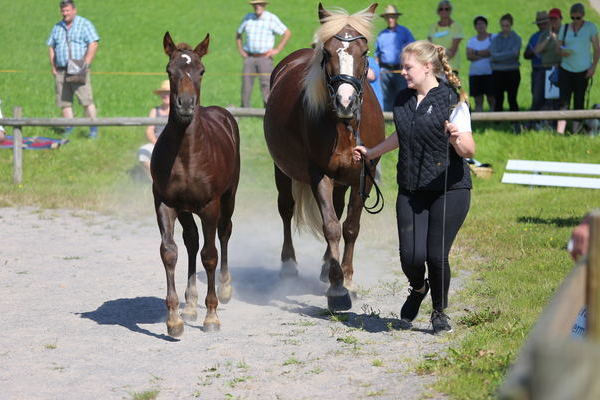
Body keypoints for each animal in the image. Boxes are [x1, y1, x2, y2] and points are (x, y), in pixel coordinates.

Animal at [151, 32, 240, 336]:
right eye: (169, 70)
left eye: (201, 70)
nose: (186, 105)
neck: (187, 155)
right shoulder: (165, 203)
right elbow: (169, 252)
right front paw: (174, 319)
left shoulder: (210, 205)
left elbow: (210, 255)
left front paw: (211, 316)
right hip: (185, 209)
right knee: (191, 241)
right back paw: (189, 304)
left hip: (229, 197)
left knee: (224, 232)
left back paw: (225, 288)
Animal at [262, 3, 384, 310]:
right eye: (327, 52)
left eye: (364, 52)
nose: (345, 102)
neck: (344, 127)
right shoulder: (319, 175)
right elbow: (330, 227)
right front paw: (337, 289)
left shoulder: (363, 175)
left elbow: (350, 226)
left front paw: (347, 278)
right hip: (282, 170)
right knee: (286, 209)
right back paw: (289, 266)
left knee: (338, 212)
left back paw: (327, 264)